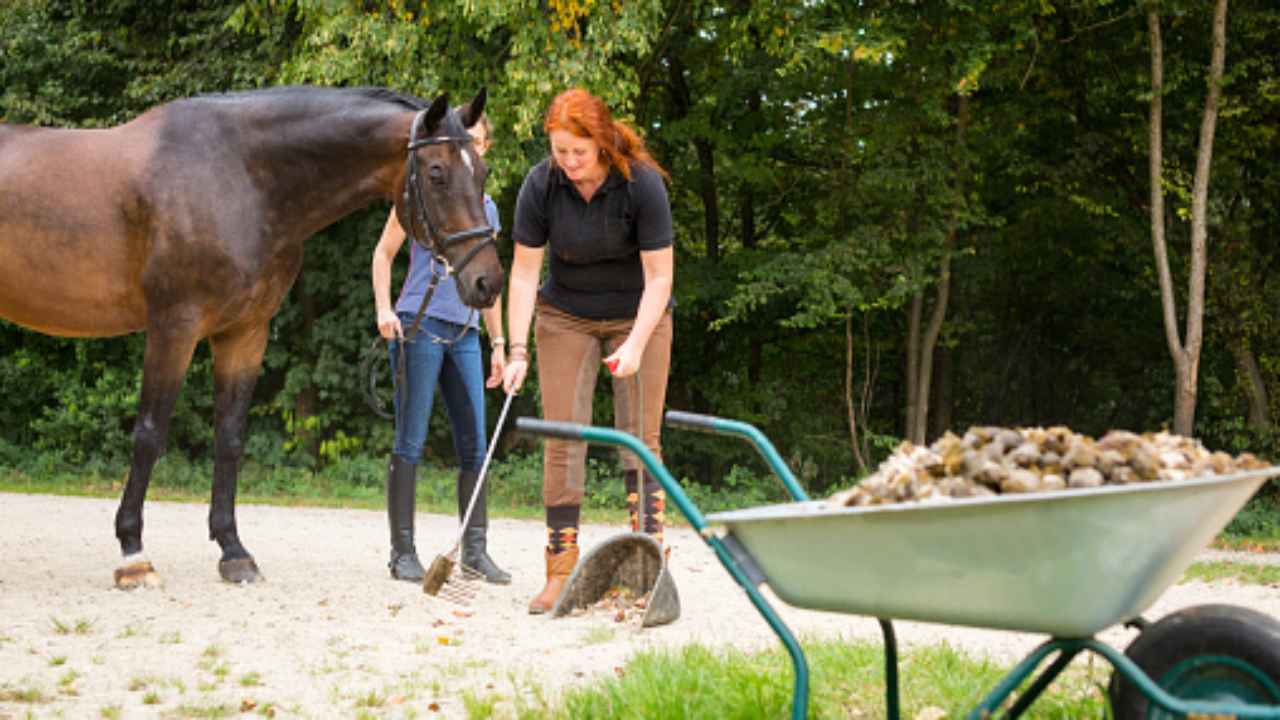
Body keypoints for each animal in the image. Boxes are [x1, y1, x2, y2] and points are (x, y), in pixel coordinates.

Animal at [0, 85, 501, 584]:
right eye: (436, 173)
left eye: (482, 172)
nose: (487, 282)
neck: (241, 179)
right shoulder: (174, 327)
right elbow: (149, 434)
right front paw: (133, 553)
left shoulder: (244, 333)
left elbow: (230, 437)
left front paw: (233, 551)